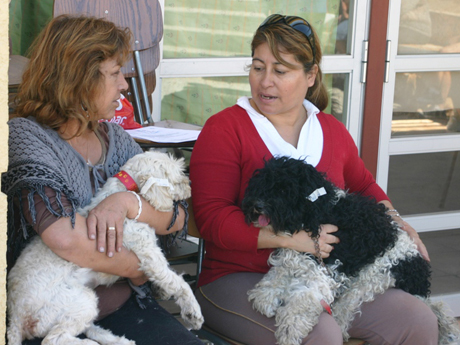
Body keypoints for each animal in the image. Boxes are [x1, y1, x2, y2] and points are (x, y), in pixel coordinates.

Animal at [6, 150, 204, 344]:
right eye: (177, 177)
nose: (190, 184)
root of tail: (16, 315)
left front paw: (162, 290)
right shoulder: (149, 255)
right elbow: (178, 282)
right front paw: (193, 311)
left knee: (85, 327)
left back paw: (118, 340)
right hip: (79, 300)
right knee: (53, 339)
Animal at [243, 157, 458, 344]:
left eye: (284, 189)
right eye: (263, 183)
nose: (257, 205)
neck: (318, 212)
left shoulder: (325, 272)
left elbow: (300, 303)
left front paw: (289, 332)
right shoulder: (298, 255)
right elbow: (277, 274)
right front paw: (266, 296)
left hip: (371, 277)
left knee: (345, 310)